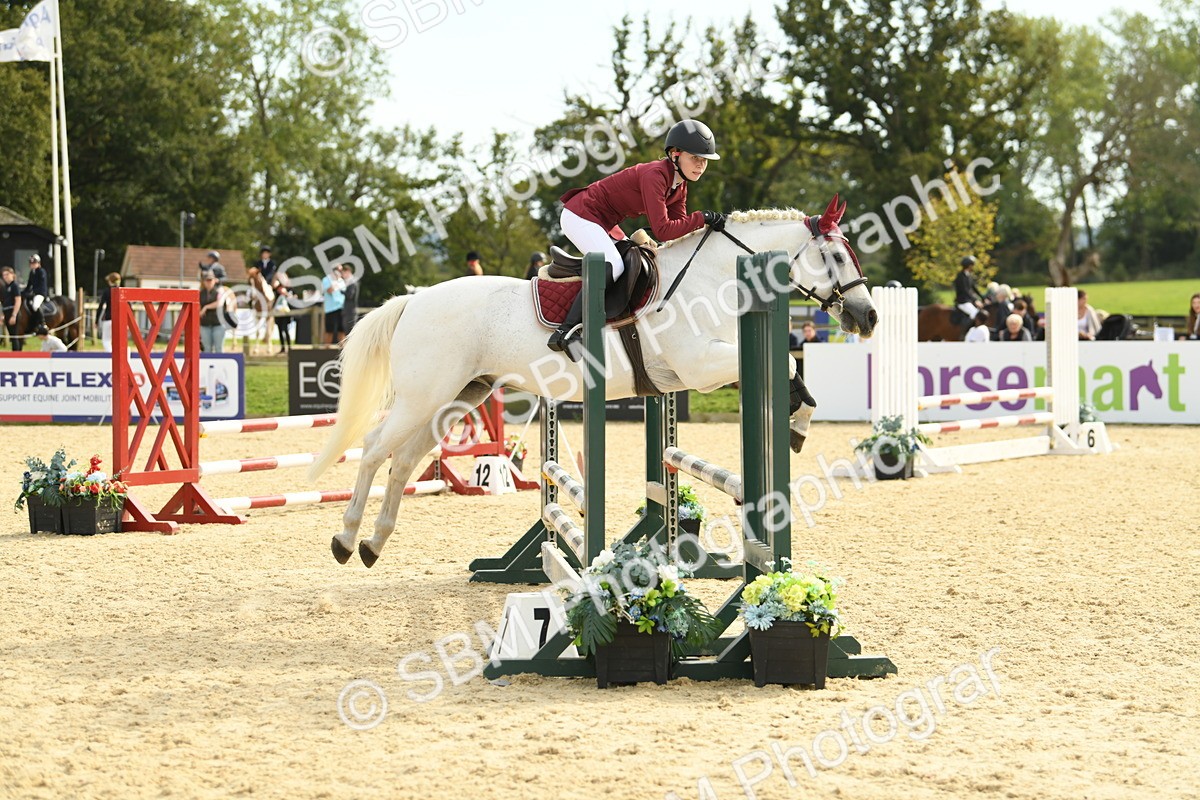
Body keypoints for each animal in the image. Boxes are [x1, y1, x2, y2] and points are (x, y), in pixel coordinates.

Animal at [309, 196, 878, 568]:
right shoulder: (701, 366)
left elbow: (791, 372)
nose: (868, 317)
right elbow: (787, 367)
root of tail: (414, 299)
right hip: (423, 396)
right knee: (374, 449)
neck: (709, 278)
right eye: (835, 256)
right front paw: (797, 425)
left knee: (405, 459)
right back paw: (345, 539)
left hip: (459, 396)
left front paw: (798, 422)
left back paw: (373, 544)